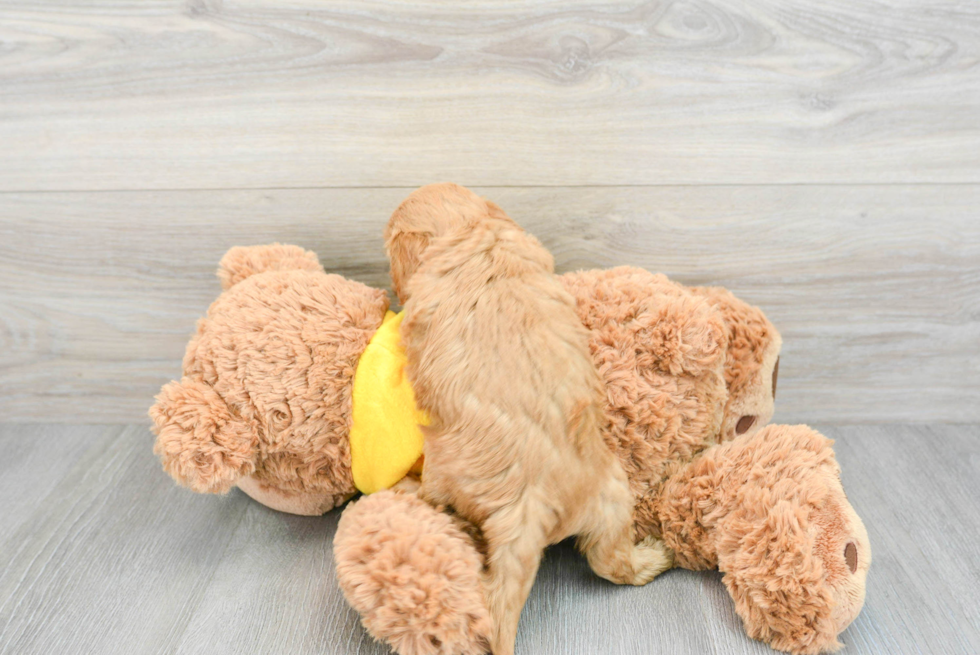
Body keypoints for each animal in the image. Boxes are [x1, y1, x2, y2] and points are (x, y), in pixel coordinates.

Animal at [390, 184, 672, 655]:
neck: (476, 234)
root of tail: (534, 502)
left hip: (443, 466)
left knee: (435, 496)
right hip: (614, 494)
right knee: (611, 562)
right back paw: (655, 557)